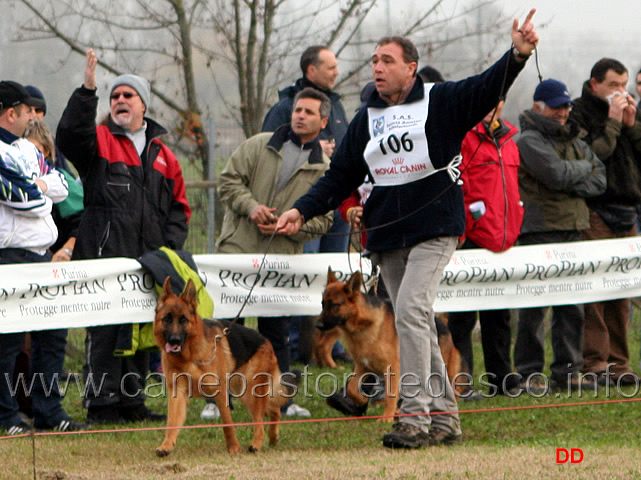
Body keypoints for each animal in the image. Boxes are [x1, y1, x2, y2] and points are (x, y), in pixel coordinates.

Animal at [154, 276, 288, 456]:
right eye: (167, 319)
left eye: (183, 320)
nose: (174, 340)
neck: (190, 355)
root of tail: (266, 341)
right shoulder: (177, 393)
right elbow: (172, 423)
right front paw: (166, 445)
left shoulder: (220, 392)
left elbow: (227, 423)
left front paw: (233, 447)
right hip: (243, 391)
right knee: (274, 409)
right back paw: (273, 438)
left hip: (250, 392)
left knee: (260, 421)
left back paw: (256, 444)